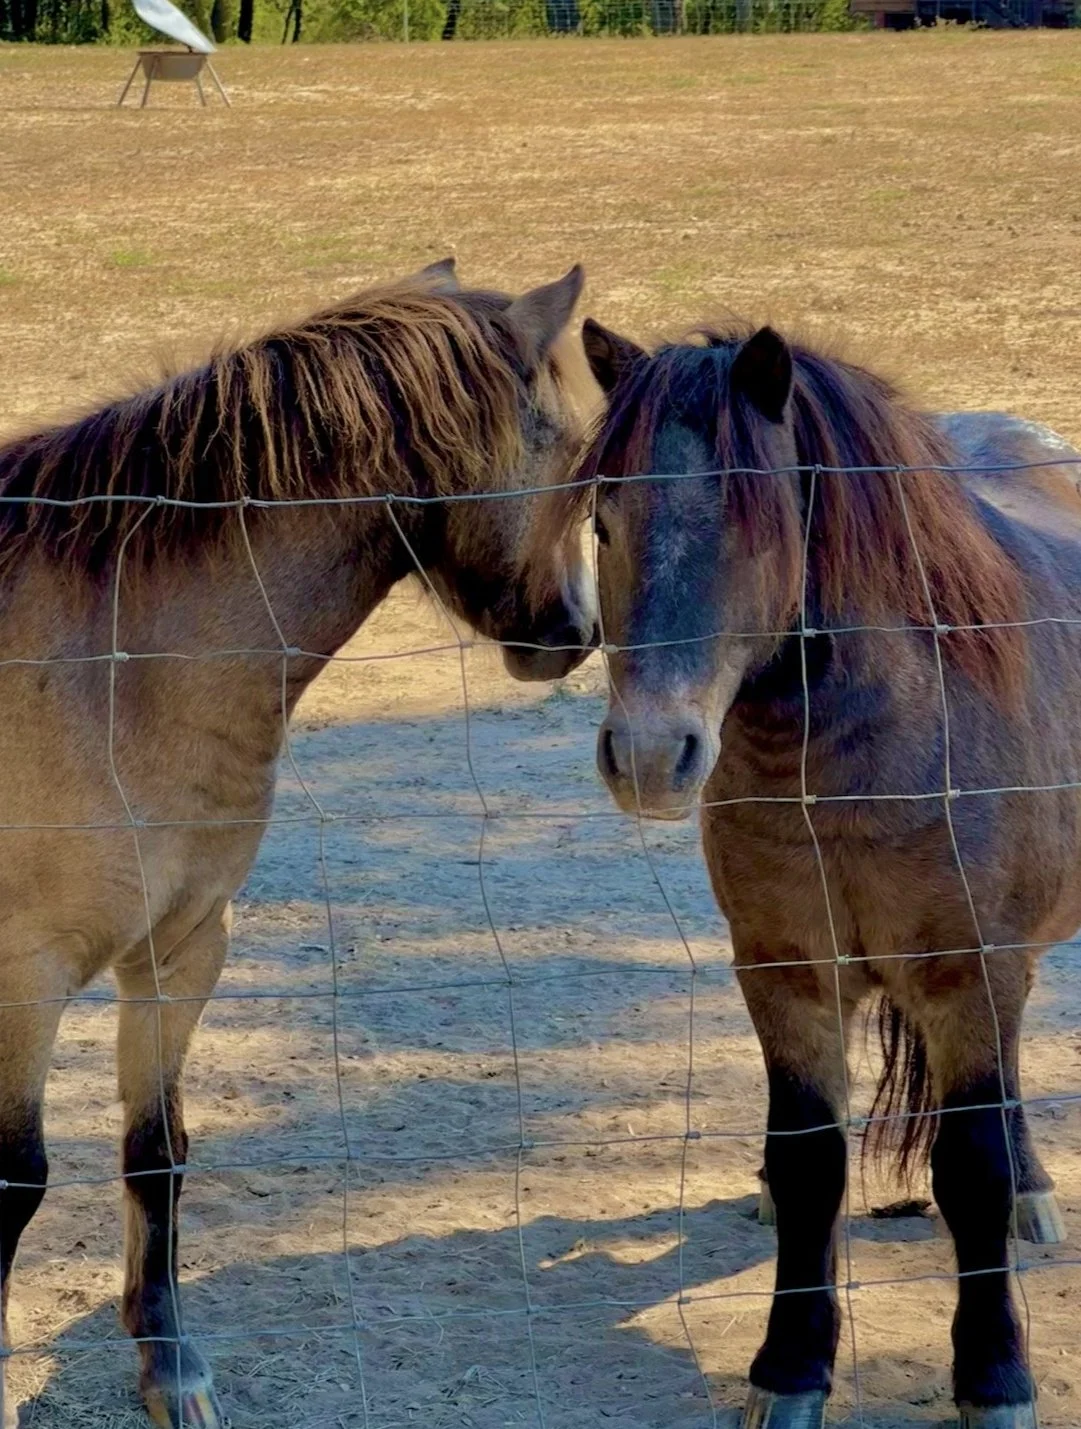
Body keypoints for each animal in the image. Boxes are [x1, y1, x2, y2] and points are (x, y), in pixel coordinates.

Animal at [0, 257, 600, 1429]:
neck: (112, 662)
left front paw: (170, 1368)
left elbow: (156, 1154)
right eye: (573, 445)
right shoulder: (24, 976)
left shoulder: (182, 950)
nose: (574, 633)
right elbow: (12, 1185)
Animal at [569, 316, 1081, 1429]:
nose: (647, 754)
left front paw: (995, 1380)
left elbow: (969, 1171)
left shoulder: (968, 972)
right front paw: (788, 1369)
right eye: (603, 521)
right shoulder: (787, 974)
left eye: (754, 523)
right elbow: (810, 1164)